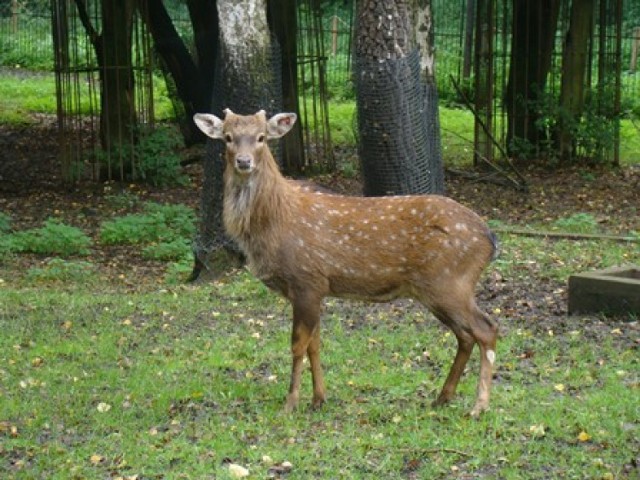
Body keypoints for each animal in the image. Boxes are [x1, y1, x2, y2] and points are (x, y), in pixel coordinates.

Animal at [194, 109, 500, 416]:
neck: (273, 223)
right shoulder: (315, 290)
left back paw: (479, 405)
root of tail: (490, 239)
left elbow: (297, 345)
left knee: (486, 329)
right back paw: (443, 397)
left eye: (261, 138)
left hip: (449, 282)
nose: (244, 161)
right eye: (228, 138)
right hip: (440, 289)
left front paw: (290, 403)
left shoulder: (306, 280)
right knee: (466, 335)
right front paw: (318, 399)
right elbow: (314, 344)